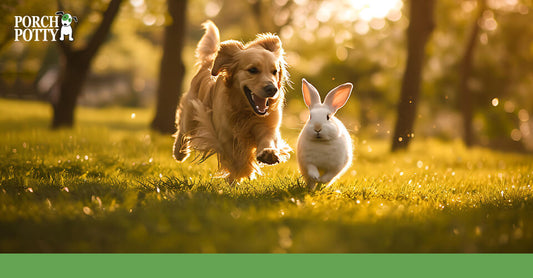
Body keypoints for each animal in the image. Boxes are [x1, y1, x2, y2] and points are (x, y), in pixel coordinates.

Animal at [171, 21, 288, 182]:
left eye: (274, 71)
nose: (272, 89)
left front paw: (268, 154)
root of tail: (209, 61)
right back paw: (179, 153)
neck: (245, 110)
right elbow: (238, 159)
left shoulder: (267, 125)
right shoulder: (223, 135)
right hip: (191, 111)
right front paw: (243, 171)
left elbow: (267, 140)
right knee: (183, 129)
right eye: (253, 70)